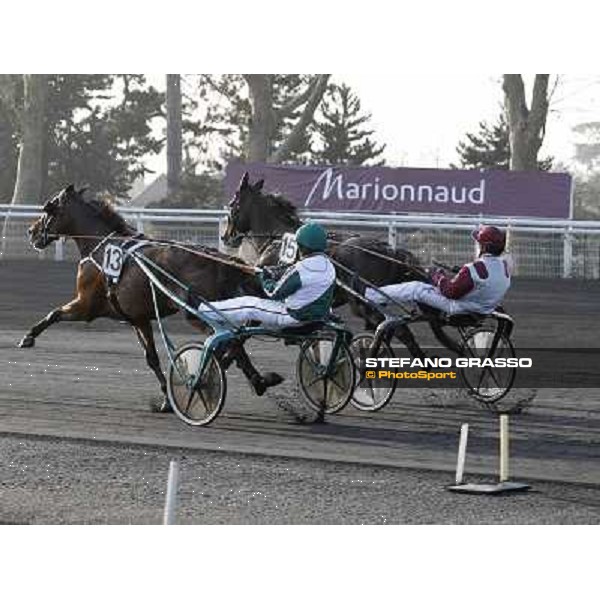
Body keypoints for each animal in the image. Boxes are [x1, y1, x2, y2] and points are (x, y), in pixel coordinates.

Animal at [21, 185, 276, 412]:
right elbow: (151, 358)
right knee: (236, 340)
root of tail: (217, 260)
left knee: (230, 341)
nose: (32, 231)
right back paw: (255, 380)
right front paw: (166, 399)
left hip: (197, 314)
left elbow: (54, 314)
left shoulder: (86, 307)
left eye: (49, 209)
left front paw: (28, 337)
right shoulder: (138, 318)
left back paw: (233, 377)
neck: (100, 247)